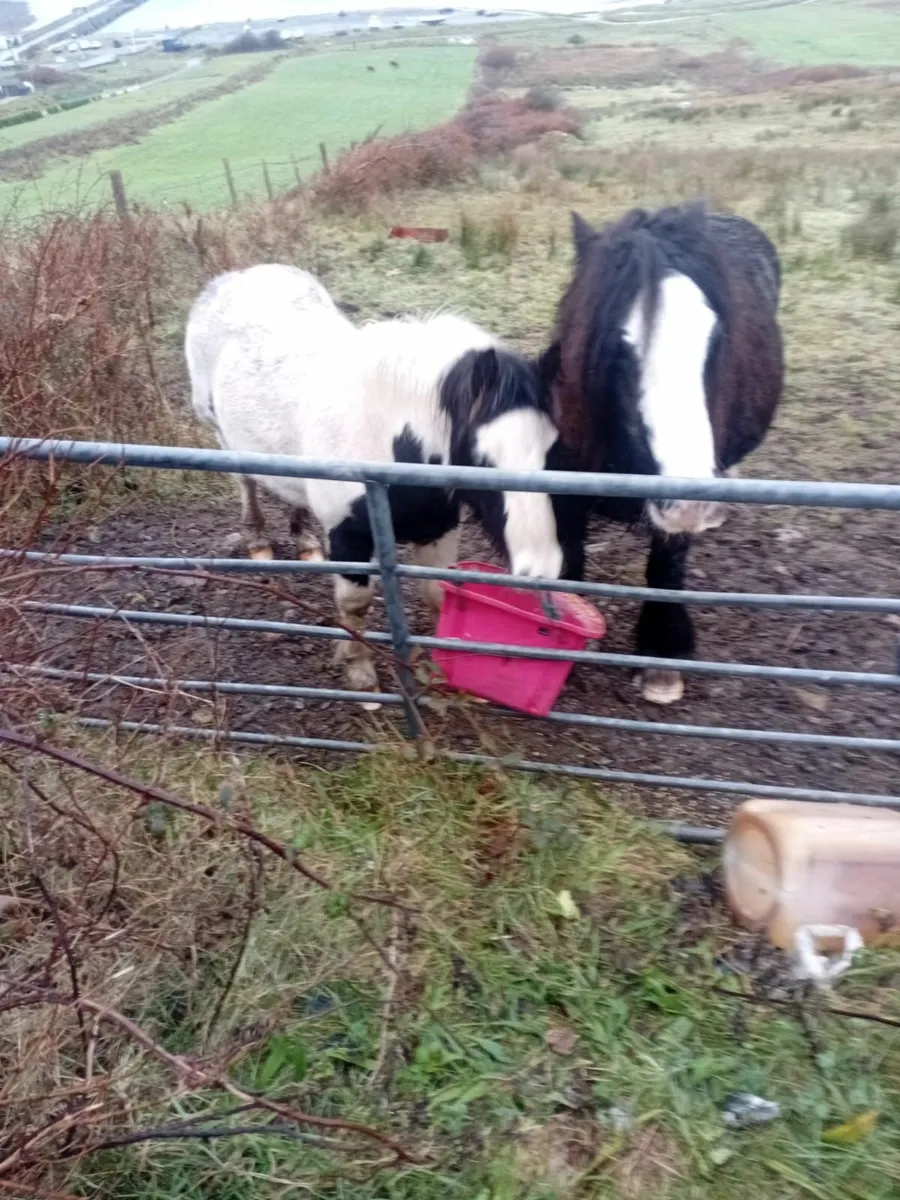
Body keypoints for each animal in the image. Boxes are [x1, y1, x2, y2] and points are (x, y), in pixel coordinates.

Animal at [186, 265, 563, 699]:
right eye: (483, 458)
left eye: (552, 448)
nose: (541, 569)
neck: (388, 441)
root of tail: (239, 275)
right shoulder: (348, 535)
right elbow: (356, 604)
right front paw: (359, 671)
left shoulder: (439, 528)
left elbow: (438, 593)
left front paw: (438, 671)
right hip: (221, 434)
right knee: (245, 482)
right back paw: (258, 541)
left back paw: (306, 544)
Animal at [543, 203, 783, 705]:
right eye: (616, 345)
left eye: (717, 338)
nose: (691, 498)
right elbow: (569, 564)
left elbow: (666, 564)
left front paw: (661, 656)